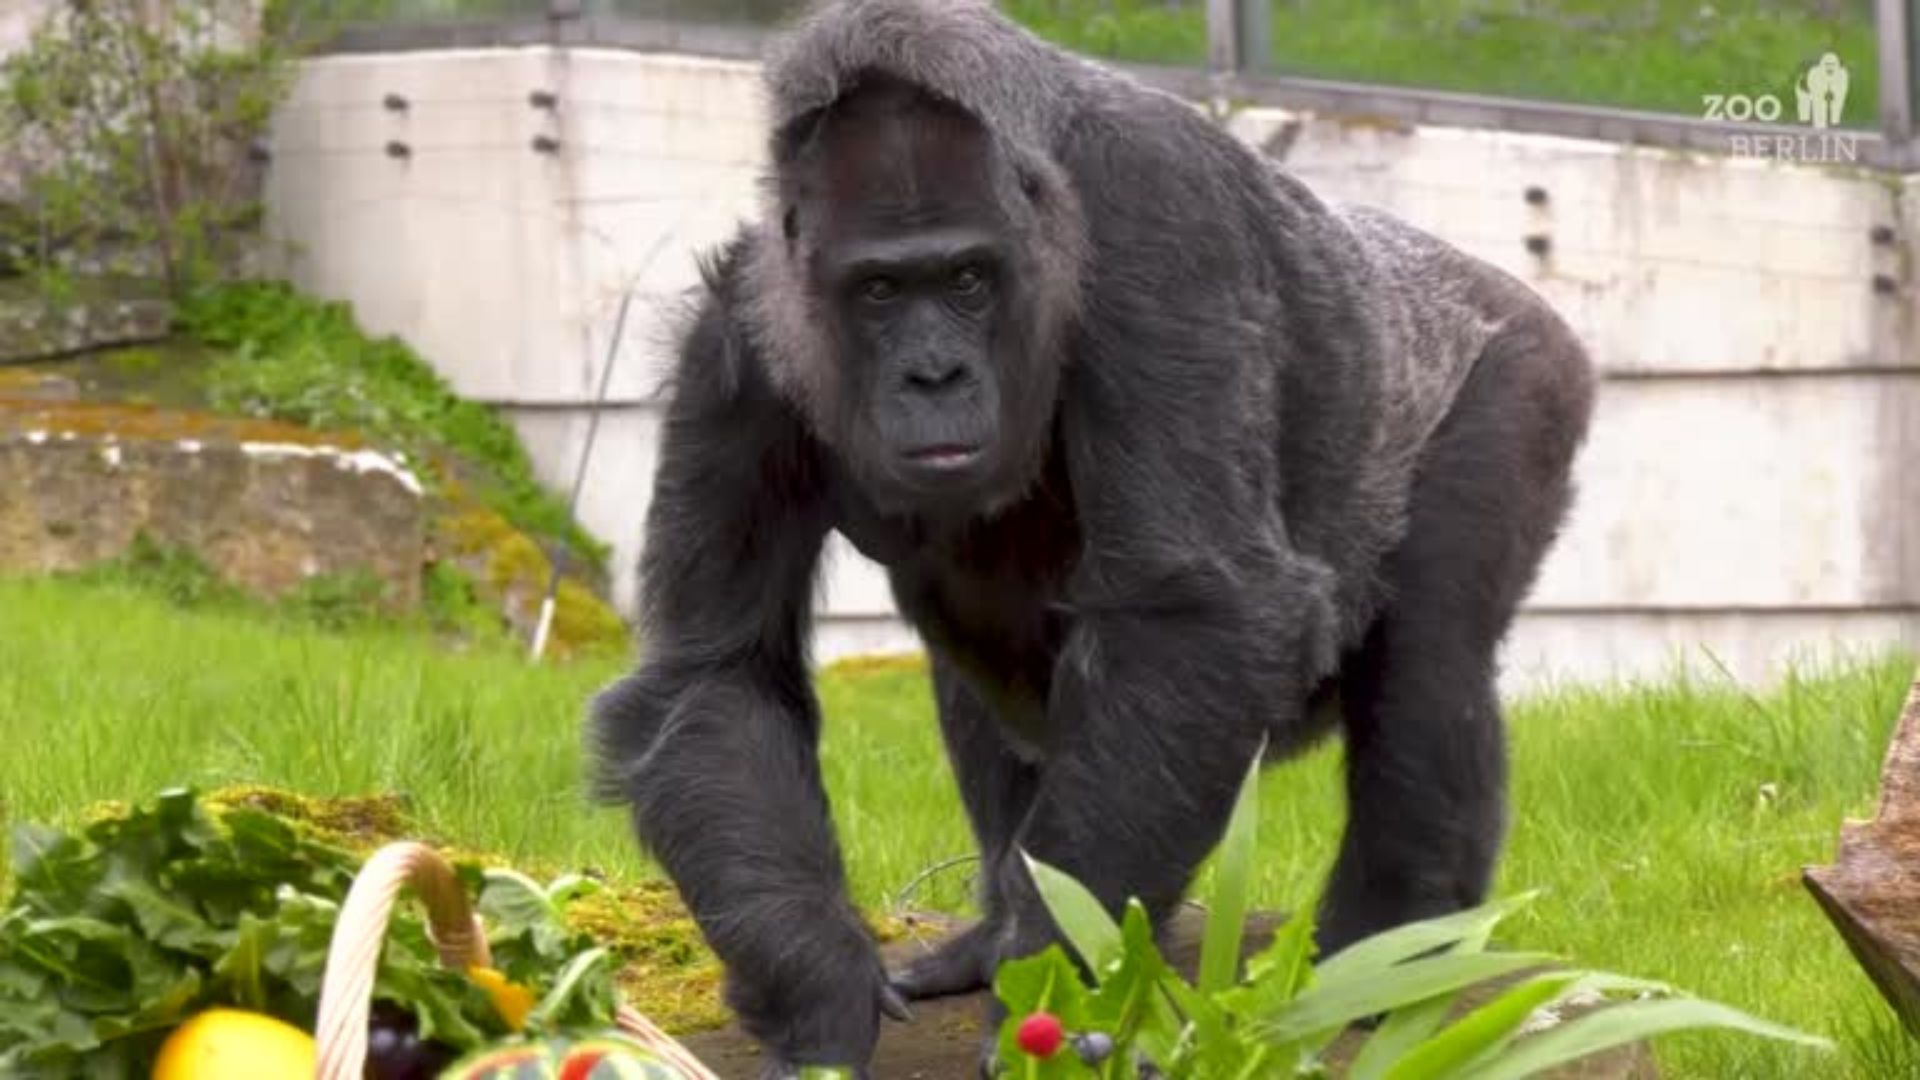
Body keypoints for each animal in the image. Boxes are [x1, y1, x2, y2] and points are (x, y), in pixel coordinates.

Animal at [591, 4, 1597, 1068]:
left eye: (968, 280)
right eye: (878, 292)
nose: (934, 376)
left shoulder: (1161, 224)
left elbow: (1198, 616)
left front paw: (1057, 990)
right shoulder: (734, 341)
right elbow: (717, 673)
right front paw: (818, 990)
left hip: (1525, 363)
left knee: (1429, 660)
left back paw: (1388, 957)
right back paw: (996, 925)